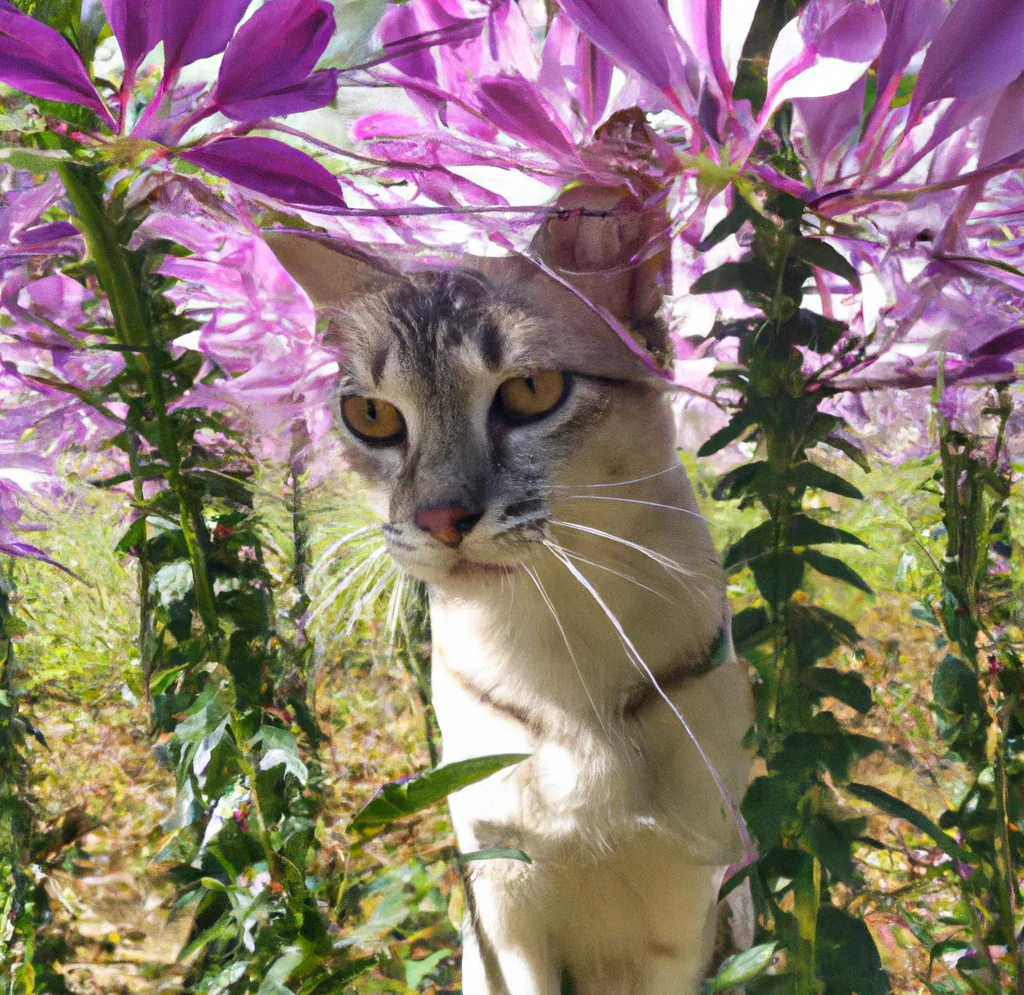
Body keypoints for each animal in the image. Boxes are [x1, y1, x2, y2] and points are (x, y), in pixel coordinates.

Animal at [268, 184, 757, 995]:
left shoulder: (685, 912)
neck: (560, 643)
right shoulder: (503, 897)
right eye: (372, 415)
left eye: (531, 389)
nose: (438, 518)